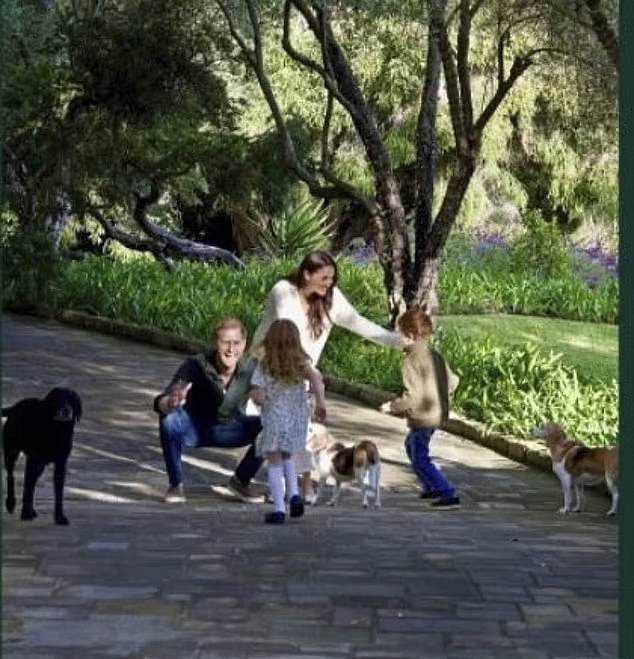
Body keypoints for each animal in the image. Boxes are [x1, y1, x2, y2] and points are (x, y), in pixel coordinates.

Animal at [2, 386, 81, 524]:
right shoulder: (33, 460)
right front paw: (25, 513)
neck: (56, 429)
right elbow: (27, 488)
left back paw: (31, 509)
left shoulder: (61, 464)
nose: (66, 410)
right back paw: (11, 503)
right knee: (11, 477)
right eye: (59, 398)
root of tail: (16, 406)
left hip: (40, 465)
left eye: (72, 400)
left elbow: (58, 492)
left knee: (32, 482)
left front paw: (60, 517)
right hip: (11, 452)